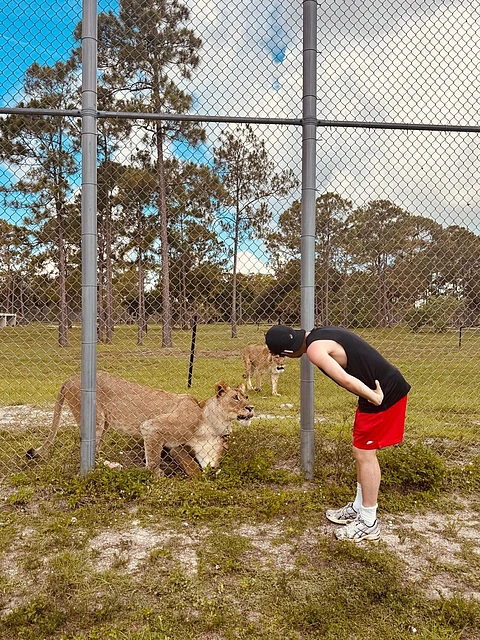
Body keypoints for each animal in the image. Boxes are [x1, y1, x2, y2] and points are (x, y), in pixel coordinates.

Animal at [26, 371, 254, 476]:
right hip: (95, 421)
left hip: (104, 423)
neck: (205, 419)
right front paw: (156, 476)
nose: (251, 407)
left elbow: (190, 464)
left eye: (247, 396)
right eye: (235, 397)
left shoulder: (174, 445)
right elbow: (153, 461)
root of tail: (71, 378)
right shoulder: (151, 427)